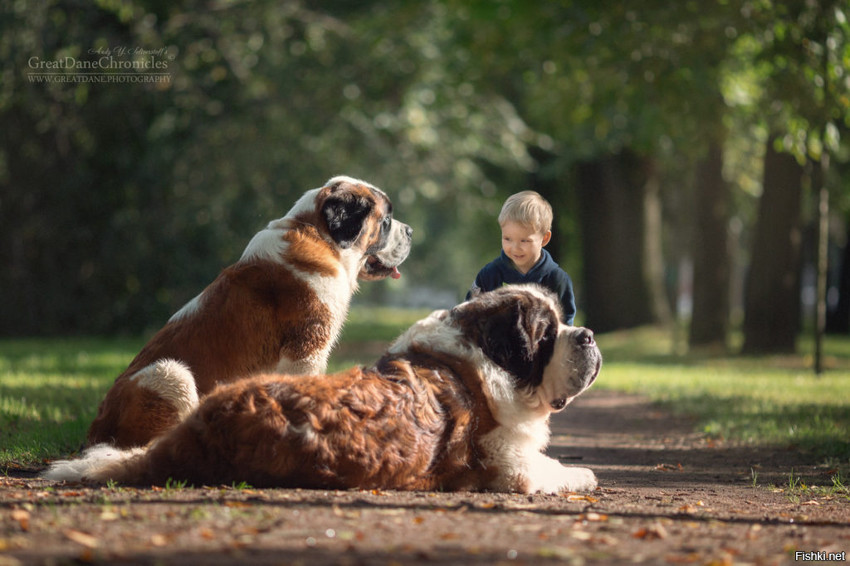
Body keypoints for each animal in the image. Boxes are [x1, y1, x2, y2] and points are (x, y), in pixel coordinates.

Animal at [44, 286, 596, 494]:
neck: (479, 354)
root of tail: (207, 429)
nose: (587, 335)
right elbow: (557, 469)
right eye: (547, 334)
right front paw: (585, 473)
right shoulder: (512, 466)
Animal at [85, 175, 410, 450]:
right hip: (169, 374)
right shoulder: (306, 350)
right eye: (386, 221)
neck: (318, 236)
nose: (410, 230)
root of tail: (96, 428)